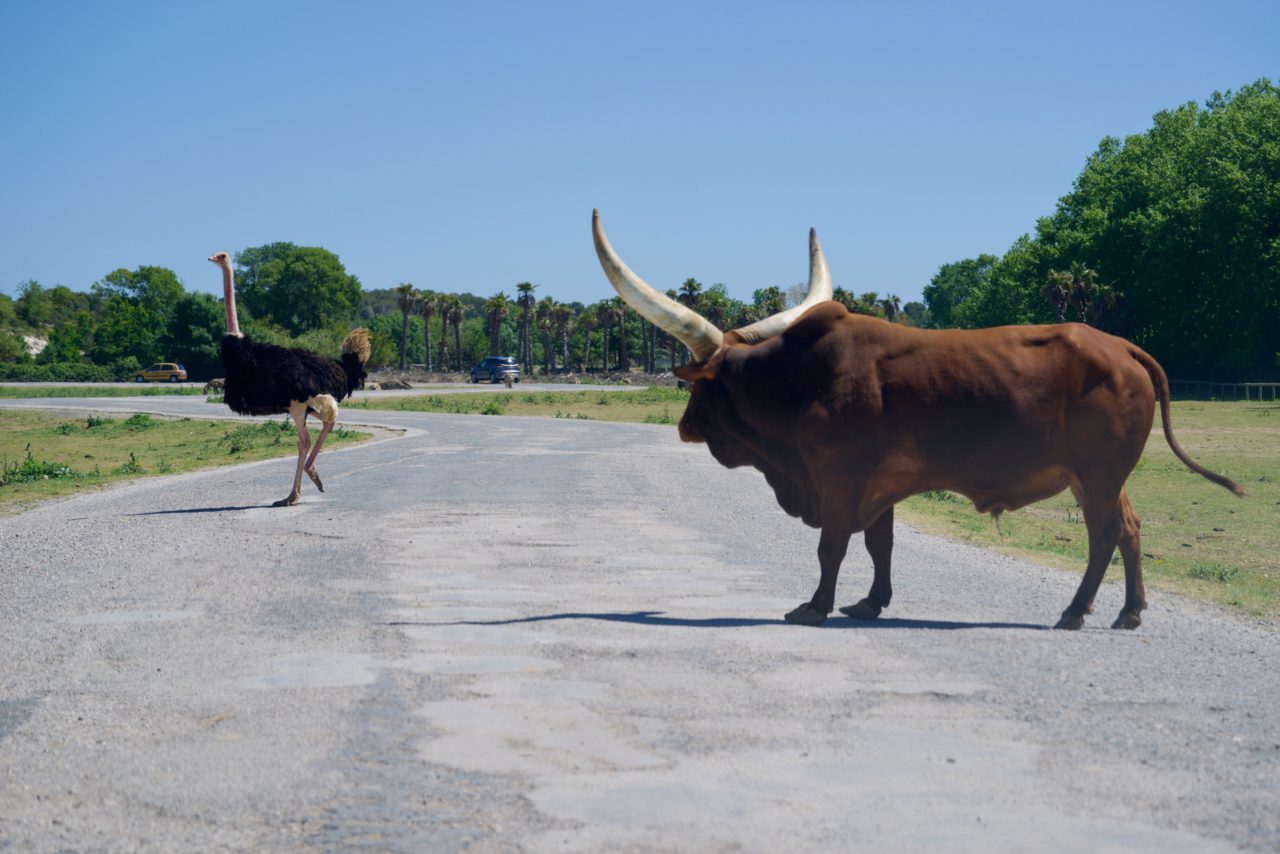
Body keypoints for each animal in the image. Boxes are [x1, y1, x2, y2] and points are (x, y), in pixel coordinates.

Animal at [593, 209, 1244, 632]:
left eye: (699, 385)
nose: (684, 425)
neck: (799, 381)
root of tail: (1120, 346)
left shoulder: (839, 480)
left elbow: (832, 546)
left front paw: (815, 606)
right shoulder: (879, 484)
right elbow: (879, 544)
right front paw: (869, 603)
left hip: (1098, 475)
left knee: (1105, 533)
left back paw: (1074, 612)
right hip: (1100, 478)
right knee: (1129, 530)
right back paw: (1127, 613)